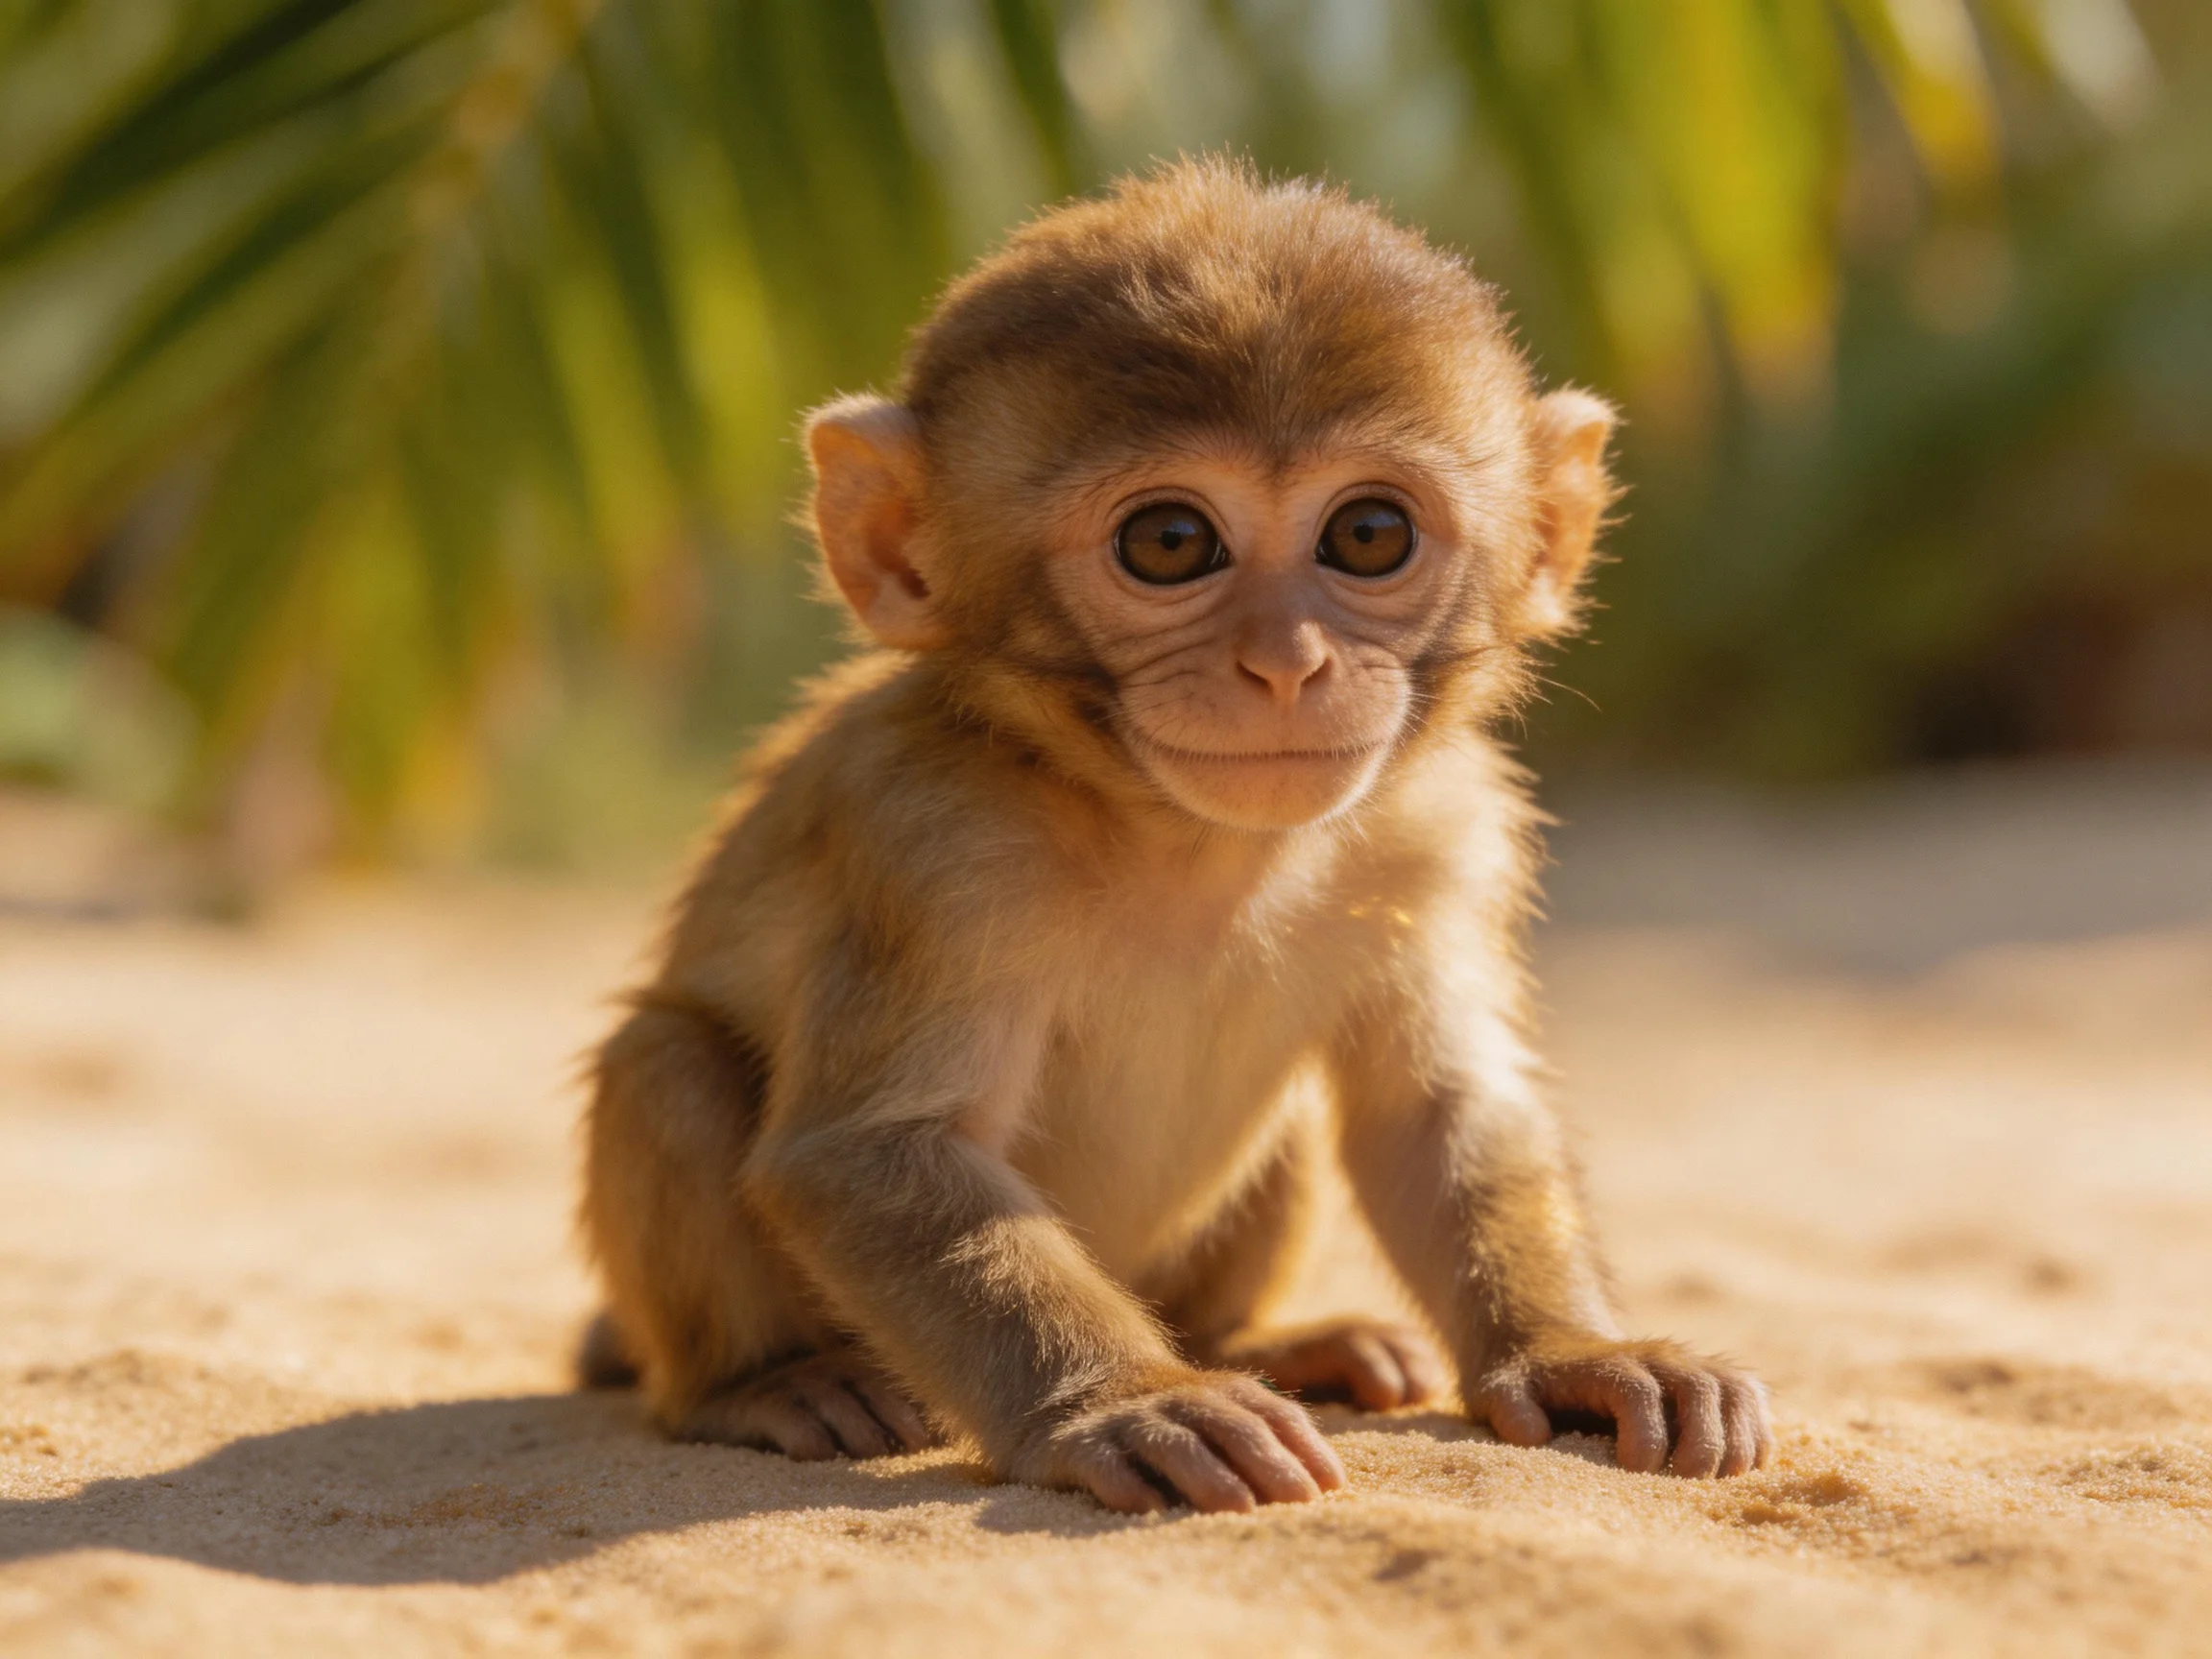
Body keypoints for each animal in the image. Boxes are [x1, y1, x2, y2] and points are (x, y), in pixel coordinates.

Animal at [578, 157, 1772, 1513]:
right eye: (1170, 542)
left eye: (1369, 534)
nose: (1286, 665)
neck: (1188, 842)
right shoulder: (931, 839)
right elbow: (871, 1153)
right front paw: (1129, 1403)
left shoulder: (1442, 828)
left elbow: (1436, 1105)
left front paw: (1577, 1353)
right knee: (665, 1066)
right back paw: (764, 1381)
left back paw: (1272, 1345)